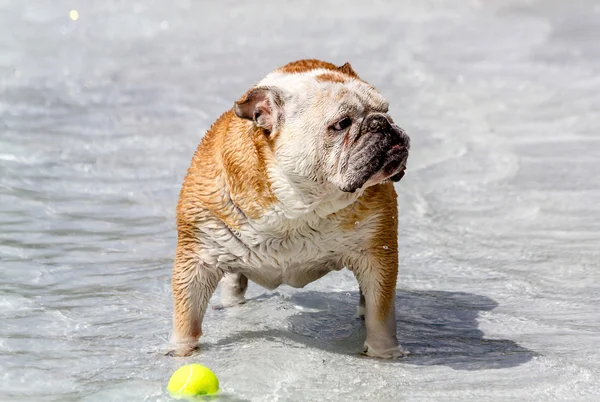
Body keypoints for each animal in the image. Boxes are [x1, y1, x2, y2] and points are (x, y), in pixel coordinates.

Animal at [171, 59, 410, 358]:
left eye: (386, 110)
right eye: (342, 123)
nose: (382, 123)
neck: (300, 202)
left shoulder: (376, 253)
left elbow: (381, 311)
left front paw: (384, 352)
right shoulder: (197, 259)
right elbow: (187, 315)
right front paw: (180, 351)